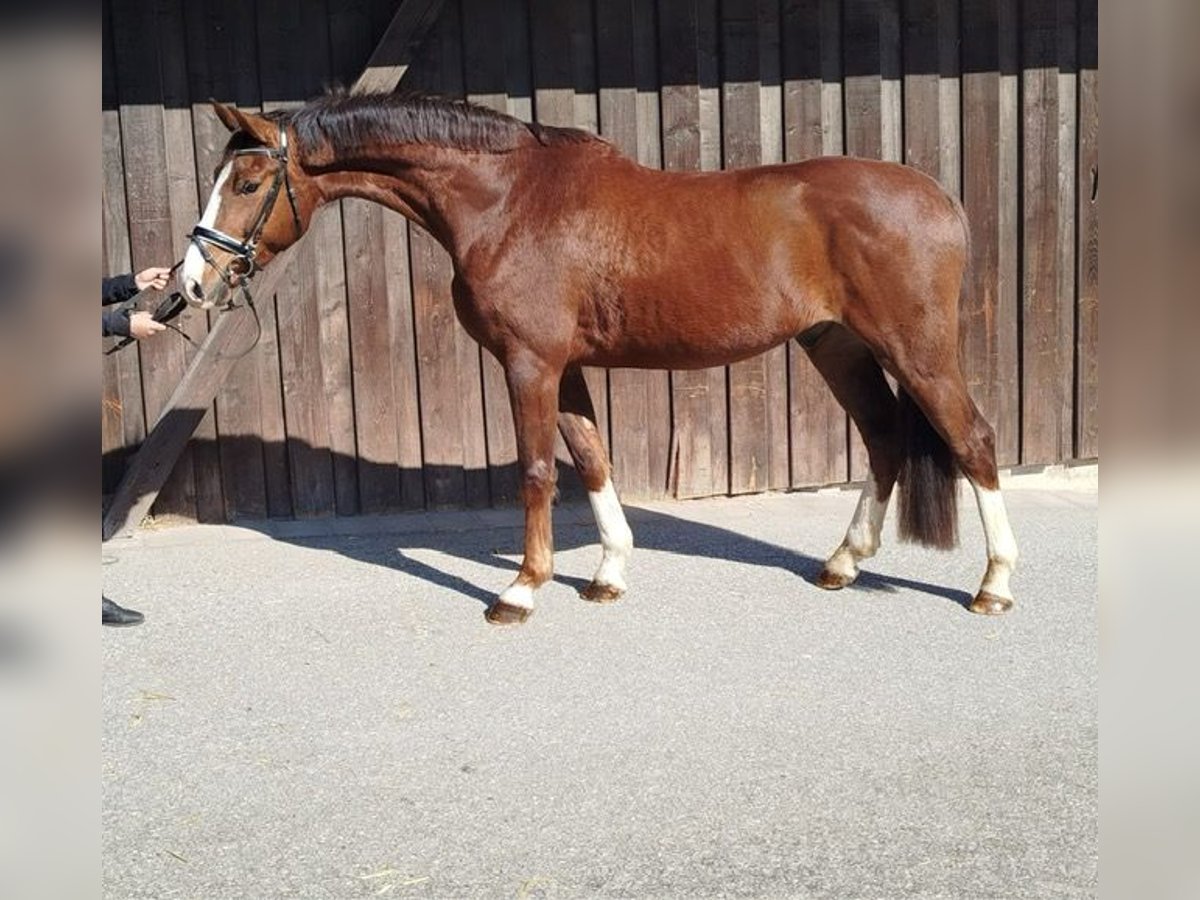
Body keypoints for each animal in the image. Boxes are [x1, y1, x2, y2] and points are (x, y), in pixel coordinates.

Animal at [181, 90, 1018, 626]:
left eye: (248, 180)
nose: (192, 281)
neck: (507, 199)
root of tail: (941, 200)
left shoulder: (529, 363)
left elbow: (538, 473)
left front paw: (521, 590)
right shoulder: (566, 366)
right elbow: (591, 459)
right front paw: (609, 573)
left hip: (916, 351)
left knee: (973, 441)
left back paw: (994, 585)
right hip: (836, 344)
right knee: (883, 440)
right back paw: (843, 563)